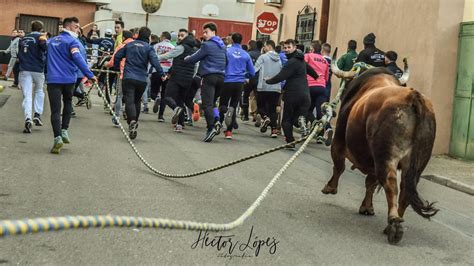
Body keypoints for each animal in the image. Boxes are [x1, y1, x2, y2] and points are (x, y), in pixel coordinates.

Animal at [322, 59, 436, 244]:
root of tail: (413, 97)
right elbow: (370, 182)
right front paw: (367, 207)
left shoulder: (339, 141)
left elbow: (339, 167)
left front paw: (330, 187)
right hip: (417, 164)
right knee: (405, 191)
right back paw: (393, 223)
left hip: (386, 156)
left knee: (391, 184)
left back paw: (394, 224)